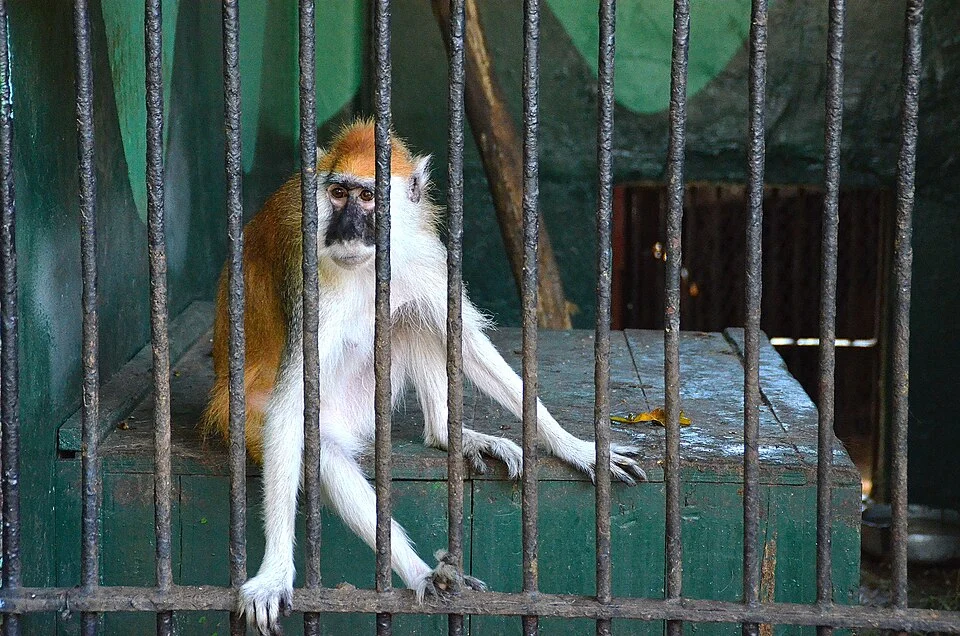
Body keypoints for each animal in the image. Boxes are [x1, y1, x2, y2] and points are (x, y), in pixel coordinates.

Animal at [202, 120, 646, 635]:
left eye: (368, 198)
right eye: (338, 193)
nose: (347, 230)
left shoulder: (418, 255)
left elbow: (464, 340)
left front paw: (577, 447)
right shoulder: (311, 289)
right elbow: (291, 411)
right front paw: (274, 573)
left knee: (410, 316)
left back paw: (445, 435)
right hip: (258, 417)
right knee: (319, 449)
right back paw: (419, 571)